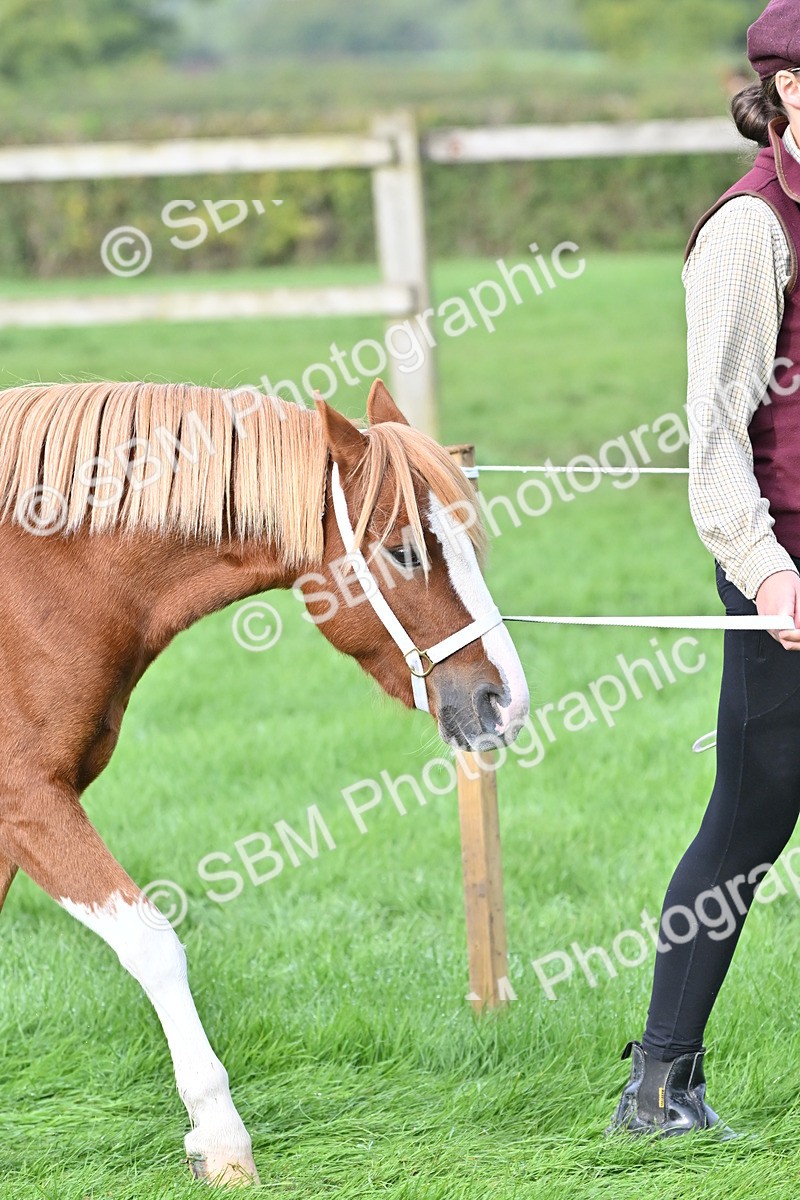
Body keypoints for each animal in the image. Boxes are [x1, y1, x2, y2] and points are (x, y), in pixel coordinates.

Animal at [0, 376, 529, 1186]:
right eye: (405, 551)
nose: (506, 699)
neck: (37, 584)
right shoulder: (29, 799)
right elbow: (155, 946)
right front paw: (222, 1142)